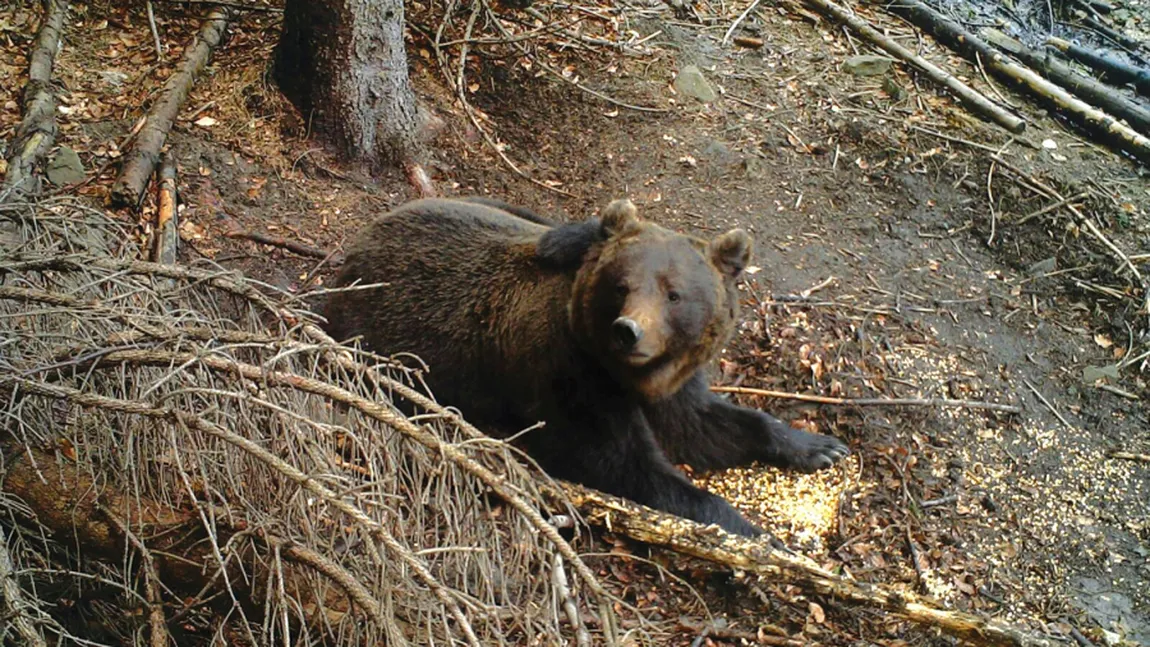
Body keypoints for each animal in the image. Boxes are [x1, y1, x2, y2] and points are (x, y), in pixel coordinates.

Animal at [322, 196, 846, 537]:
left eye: (674, 294)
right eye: (622, 285)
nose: (628, 332)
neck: (630, 376)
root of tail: (357, 246)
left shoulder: (673, 382)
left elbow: (706, 425)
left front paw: (818, 446)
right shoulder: (570, 376)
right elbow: (627, 464)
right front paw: (757, 533)